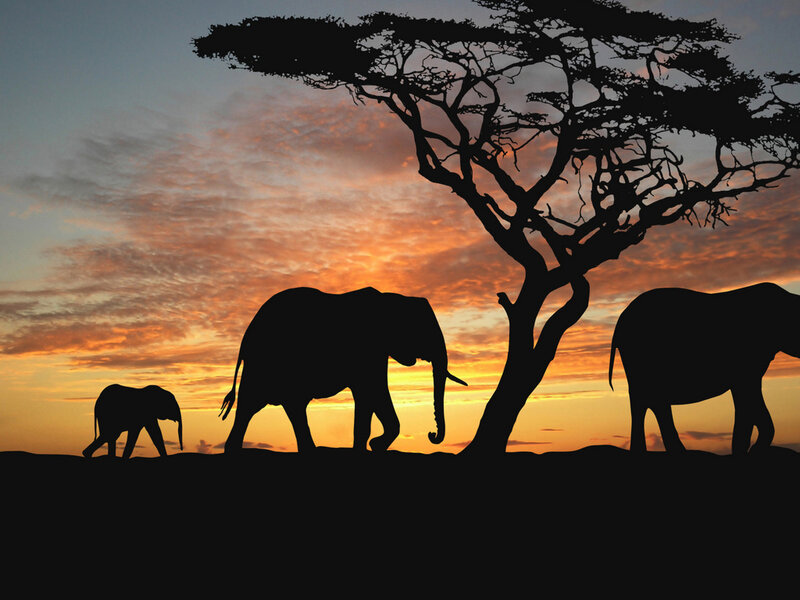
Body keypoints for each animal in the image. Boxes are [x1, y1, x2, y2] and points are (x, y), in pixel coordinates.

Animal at [220, 286, 467, 453]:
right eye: (424, 331)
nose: (432, 434)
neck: (391, 298)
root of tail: (247, 335)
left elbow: (371, 395)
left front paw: (372, 446)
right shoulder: (367, 349)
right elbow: (372, 391)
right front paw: (373, 445)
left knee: (282, 406)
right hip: (265, 363)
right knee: (254, 404)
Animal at [608, 282, 800, 455]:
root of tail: (620, 321)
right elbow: (747, 394)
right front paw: (750, 450)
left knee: (651, 400)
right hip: (641, 357)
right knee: (646, 399)